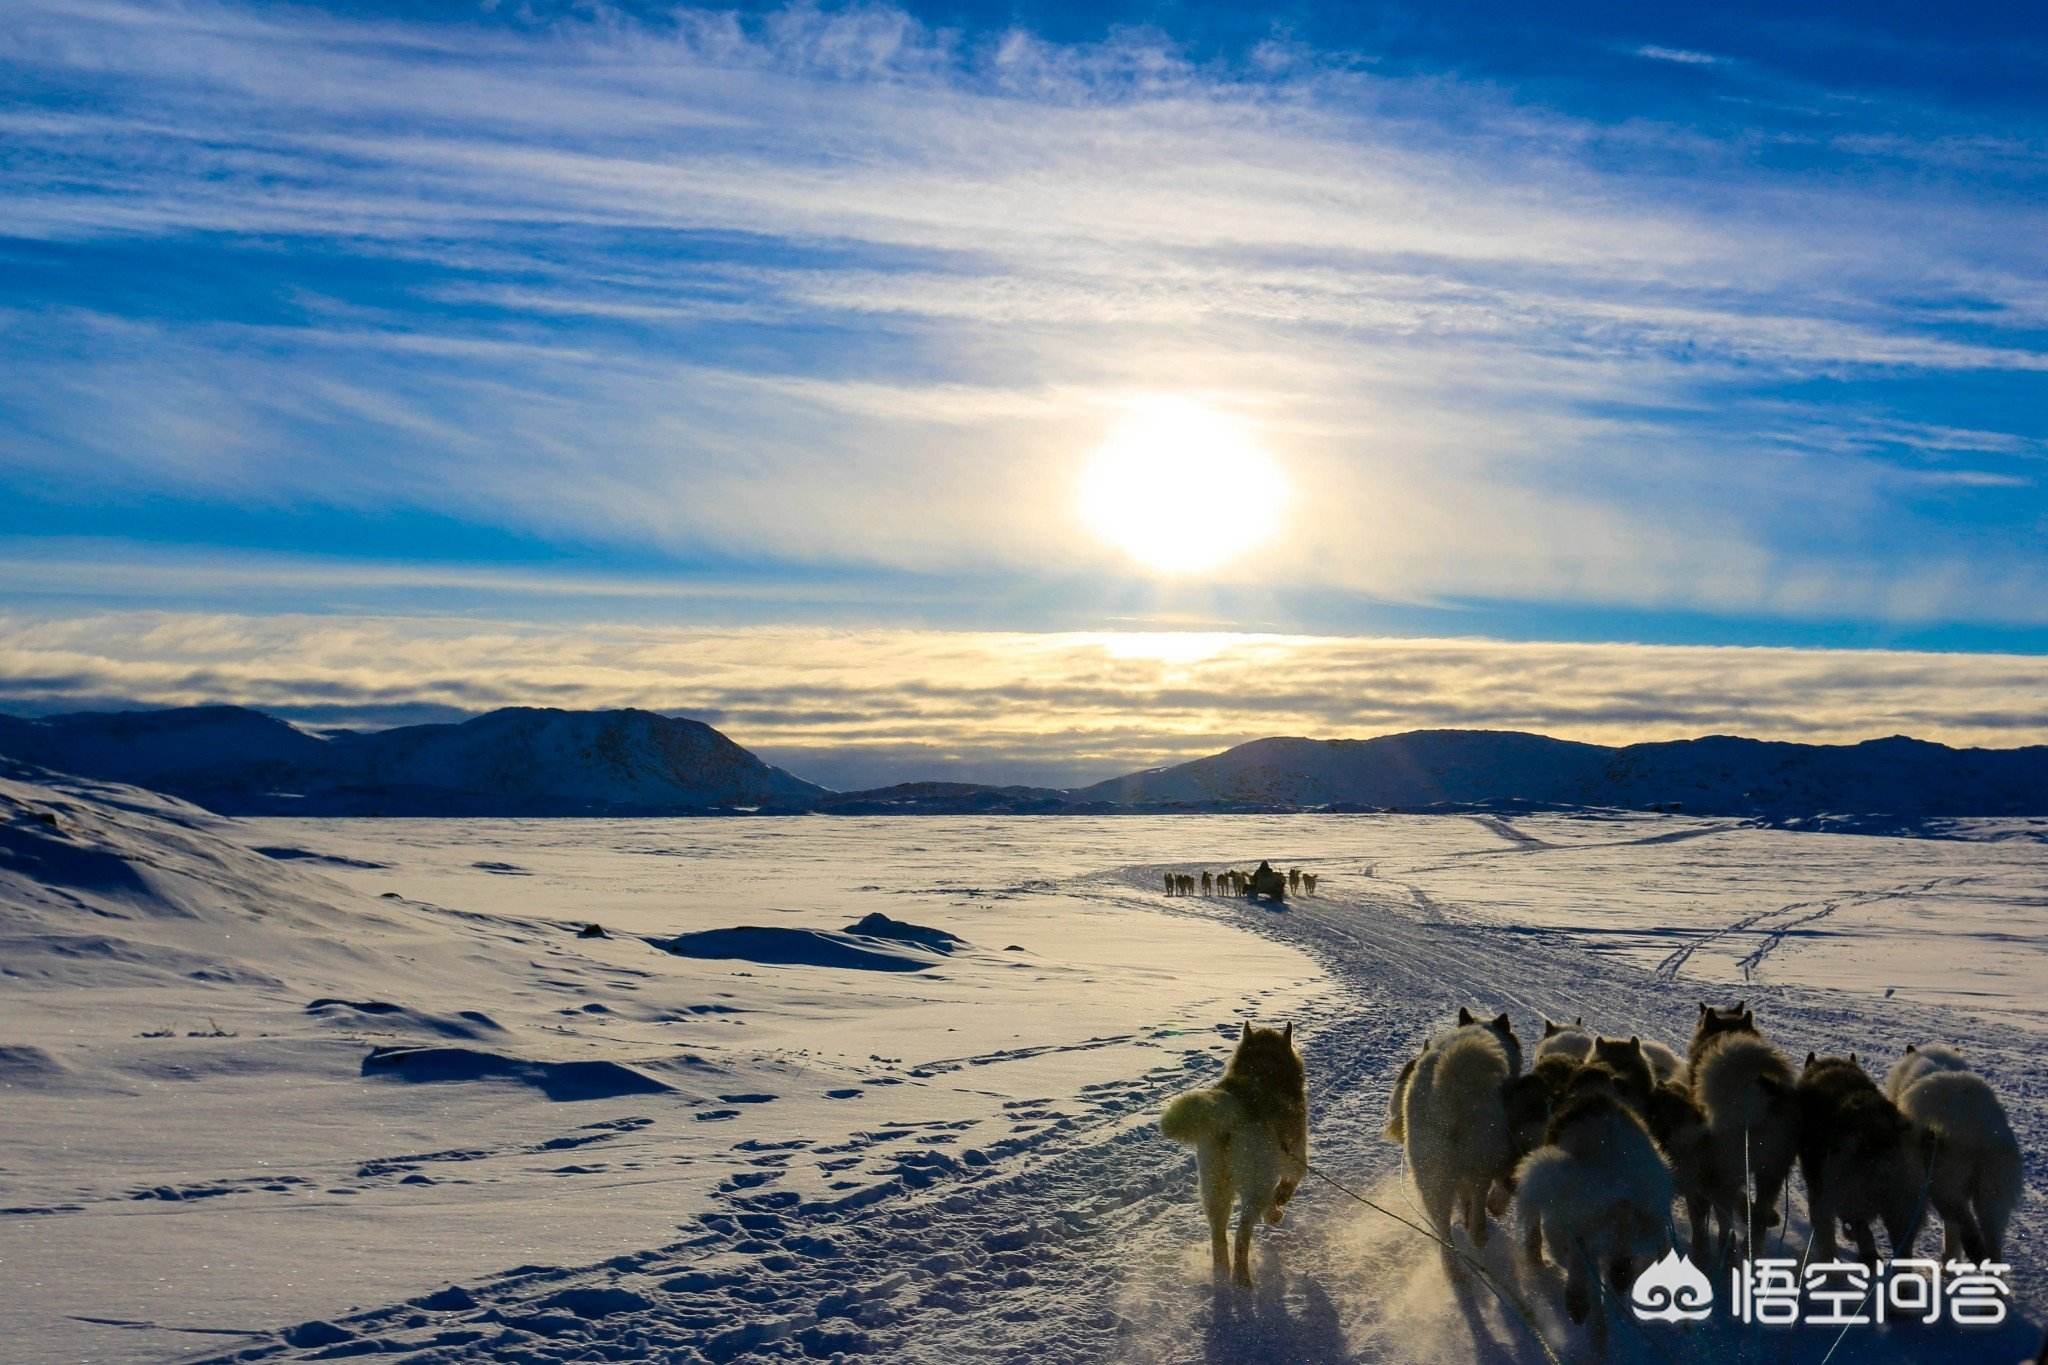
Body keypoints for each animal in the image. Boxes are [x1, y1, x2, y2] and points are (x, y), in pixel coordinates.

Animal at [1163, 1023, 1302, 1293]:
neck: (1261, 1066)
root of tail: (1232, 1109)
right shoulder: (1295, 1157)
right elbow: (1287, 1186)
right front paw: (1276, 1211)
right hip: (1256, 1185)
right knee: (1241, 1235)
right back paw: (1241, 1278)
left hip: (1214, 1189)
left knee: (1219, 1235)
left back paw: (1221, 1273)